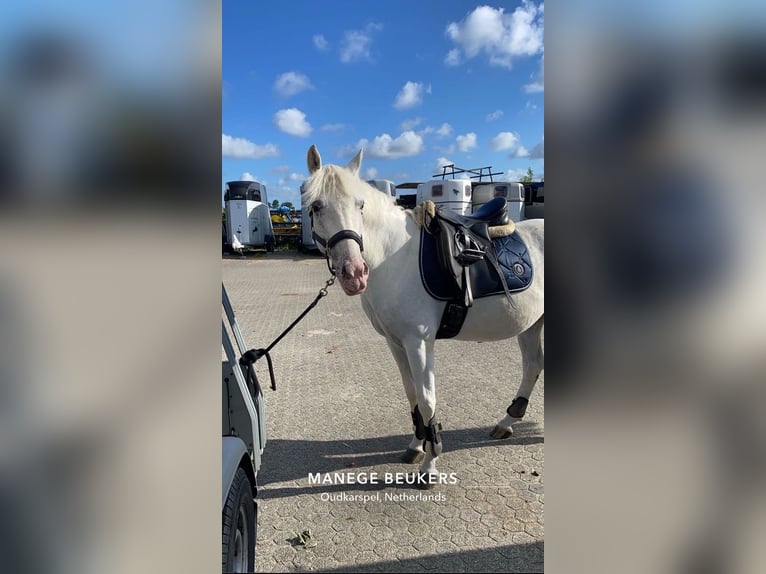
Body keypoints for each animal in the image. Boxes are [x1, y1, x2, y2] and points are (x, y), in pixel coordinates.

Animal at [306, 145, 544, 486]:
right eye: (316, 206)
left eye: (360, 205)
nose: (355, 273)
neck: (393, 256)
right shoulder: (396, 342)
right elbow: (412, 396)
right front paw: (416, 446)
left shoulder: (419, 341)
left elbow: (427, 398)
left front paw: (429, 467)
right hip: (531, 323)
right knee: (533, 365)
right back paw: (506, 422)